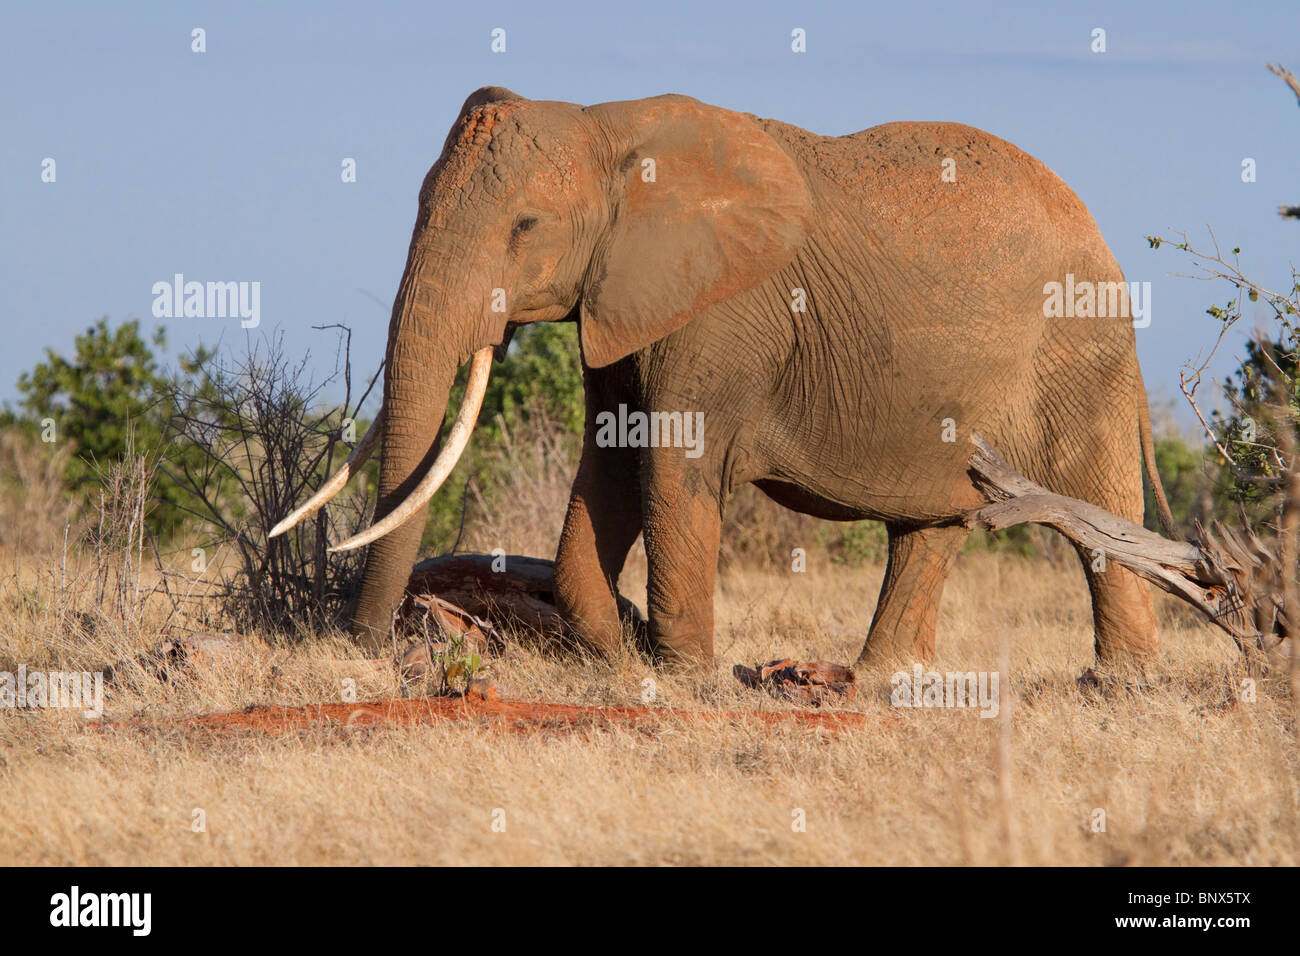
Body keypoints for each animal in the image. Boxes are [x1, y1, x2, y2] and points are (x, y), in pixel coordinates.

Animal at [269, 87, 1175, 671]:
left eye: (526, 226)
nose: (366, 643)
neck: (610, 131)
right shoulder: (623, 302)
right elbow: (610, 464)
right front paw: (616, 653)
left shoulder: (721, 312)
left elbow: (670, 468)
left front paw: (682, 675)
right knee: (933, 525)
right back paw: (882, 684)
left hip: (1078, 355)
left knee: (1096, 507)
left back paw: (1119, 688)